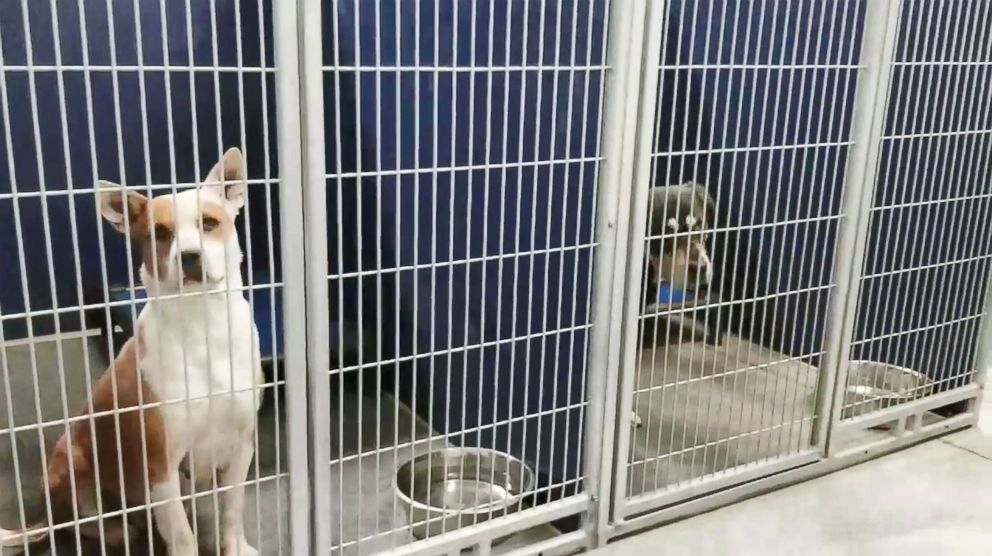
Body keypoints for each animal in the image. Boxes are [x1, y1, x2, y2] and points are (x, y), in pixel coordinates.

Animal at [0, 148, 262, 556]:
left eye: (209, 223)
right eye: (160, 233)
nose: (189, 256)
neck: (203, 324)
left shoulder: (241, 444)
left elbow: (233, 507)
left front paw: (235, 546)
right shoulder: (159, 465)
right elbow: (184, 537)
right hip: (71, 463)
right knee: (89, 526)